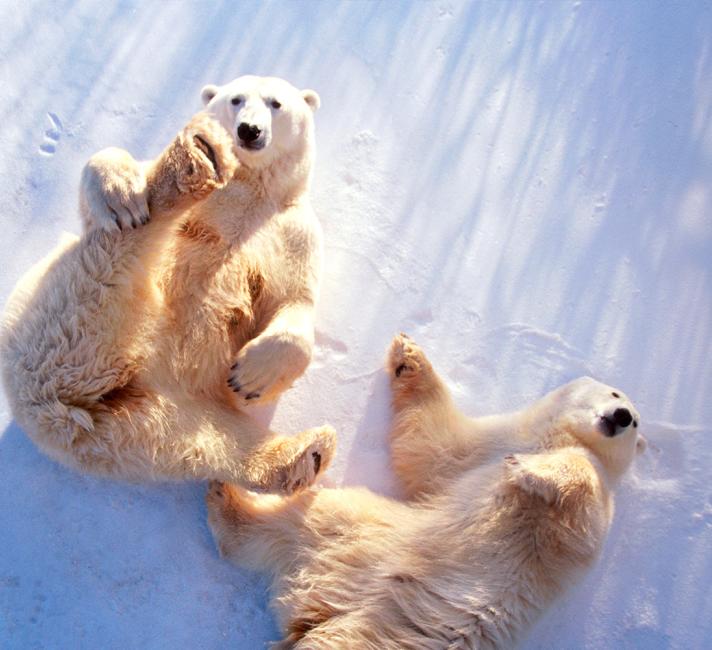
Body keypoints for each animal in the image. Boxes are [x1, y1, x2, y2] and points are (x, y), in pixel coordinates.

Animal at [0, 76, 336, 488]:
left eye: (276, 103)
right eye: (236, 99)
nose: (249, 130)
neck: (250, 187)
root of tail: (57, 417)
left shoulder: (293, 231)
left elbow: (294, 300)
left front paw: (250, 377)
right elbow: (101, 188)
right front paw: (119, 193)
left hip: (157, 419)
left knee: (212, 441)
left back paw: (306, 454)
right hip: (60, 314)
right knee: (113, 255)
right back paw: (196, 159)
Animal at [206, 334, 644, 648]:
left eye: (637, 420)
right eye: (615, 394)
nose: (622, 416)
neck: (551, 438)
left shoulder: (585, 527)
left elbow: (582, 488)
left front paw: (527, 470)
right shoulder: (487, 447)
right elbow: (434, 448)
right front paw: (408, 354)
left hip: (379, 556)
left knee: (311, 517)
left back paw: (227, 498)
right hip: (365, 548)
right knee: (299, 522)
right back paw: (226, 494)